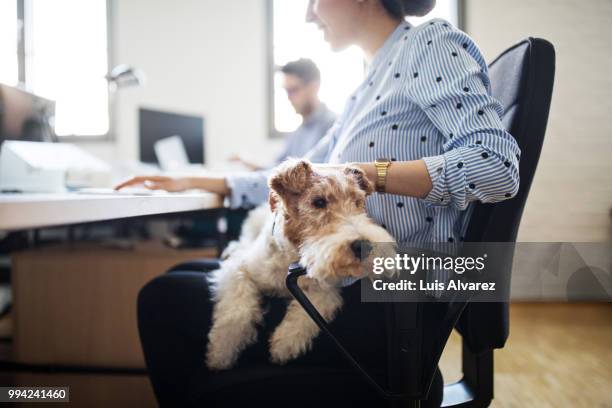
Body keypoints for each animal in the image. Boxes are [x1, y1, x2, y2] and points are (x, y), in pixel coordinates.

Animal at [206, 158, 396, 368]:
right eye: (319, 202)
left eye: (358, 202)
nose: (364, 246)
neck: (293, 257)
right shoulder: (238, 270)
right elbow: (237, 313)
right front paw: (220, 353)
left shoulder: (324, 291)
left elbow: (306, 315)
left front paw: (283, 345)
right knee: (241, 242)